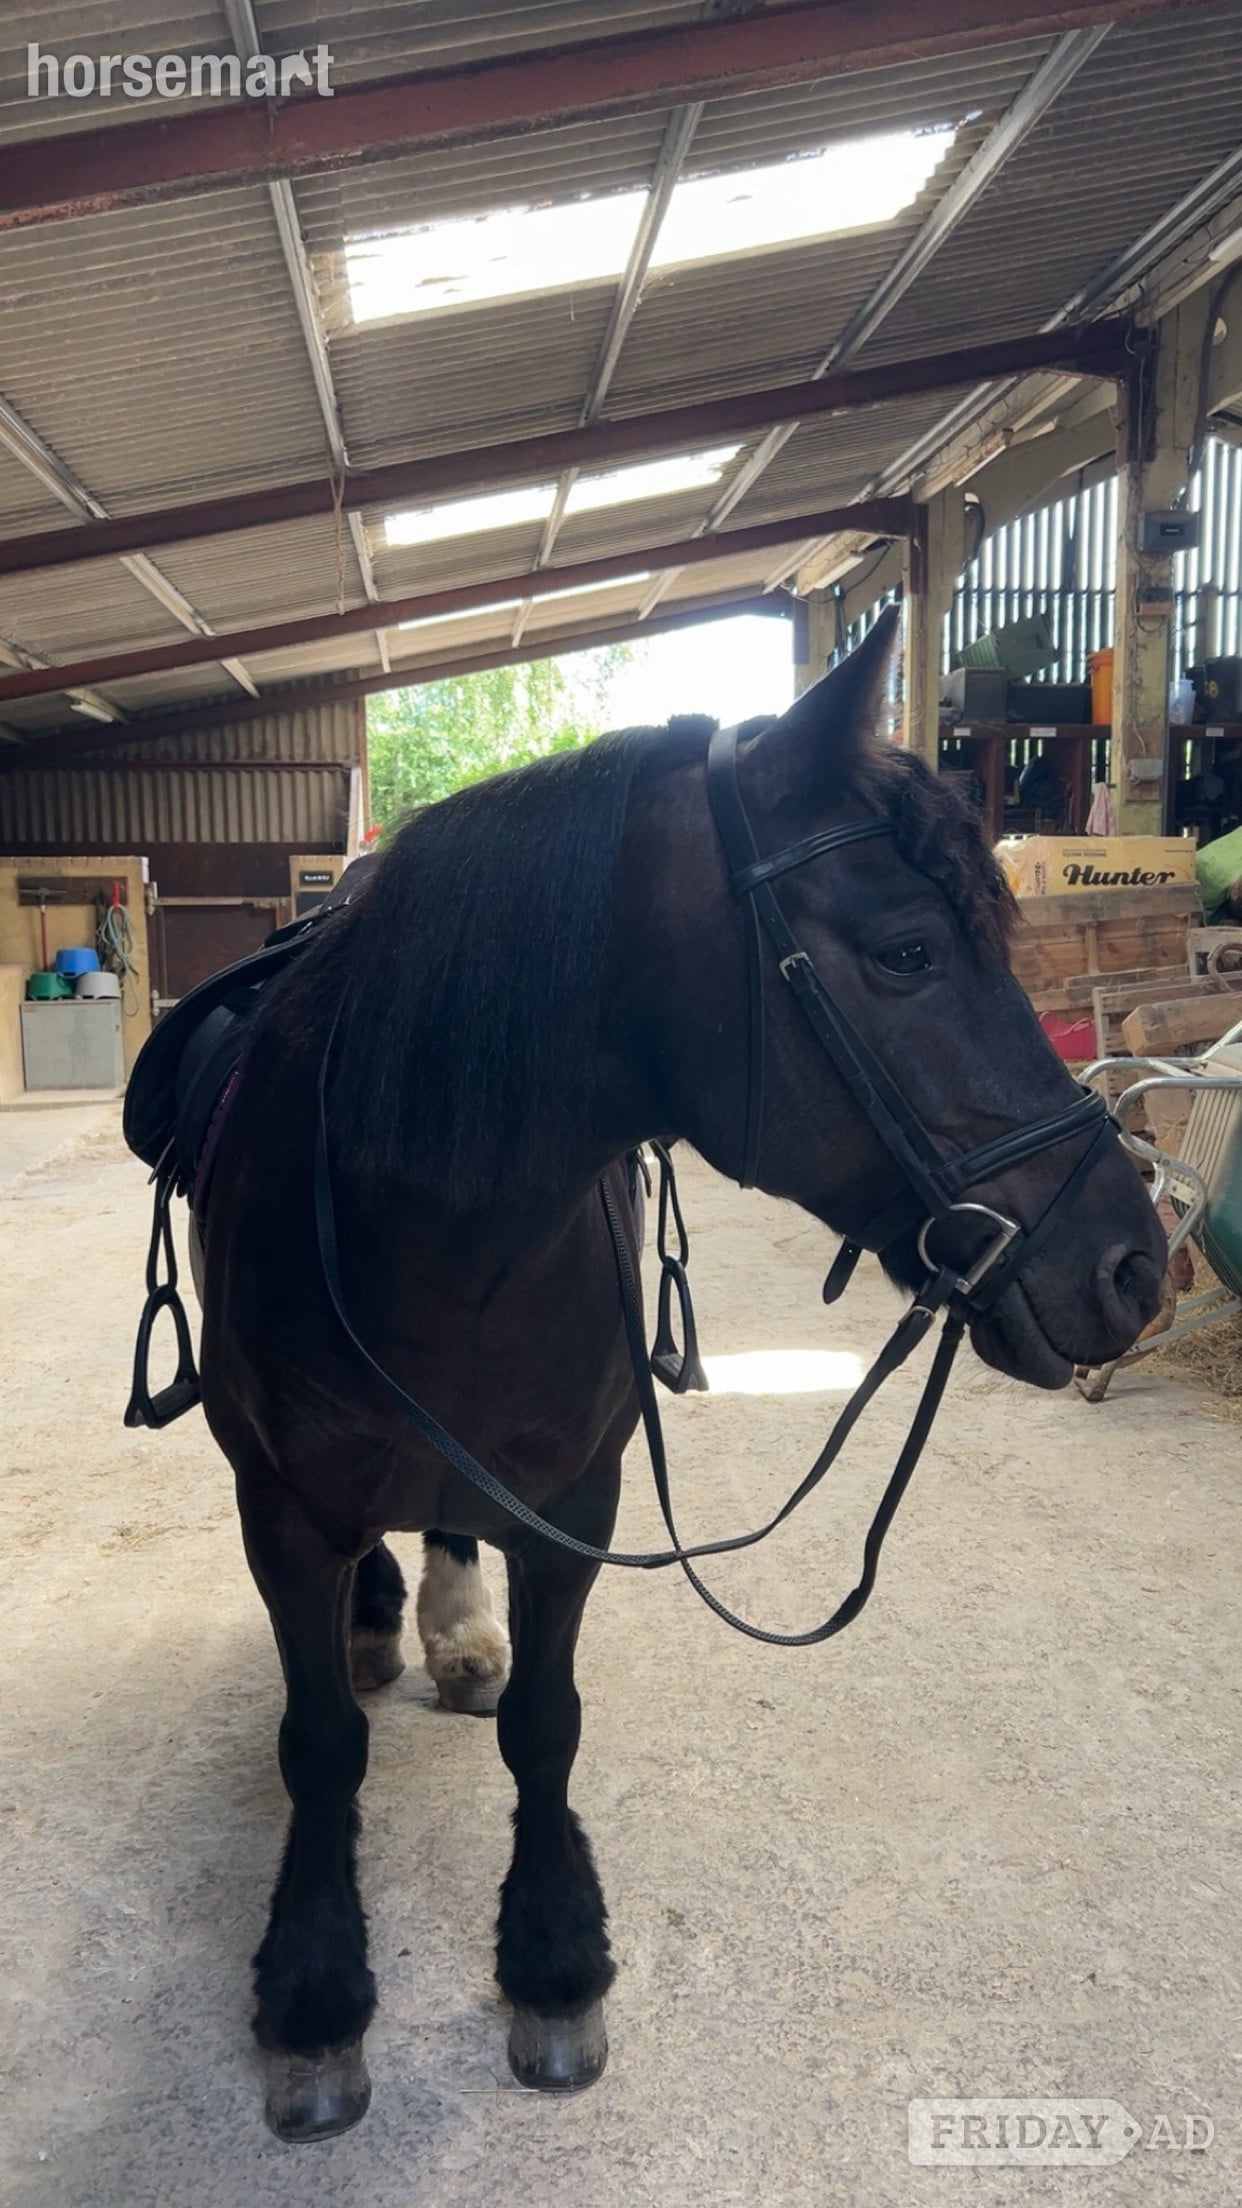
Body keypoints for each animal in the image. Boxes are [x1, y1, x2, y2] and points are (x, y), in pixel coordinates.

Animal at [187, 610, 1164, 2139]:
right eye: (904, 951)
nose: (1134, 1263)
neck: (428, 1235)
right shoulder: (278, 1506)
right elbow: (321, 1746)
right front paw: (313, 1996)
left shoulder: (574, 1495)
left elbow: (545, 1722)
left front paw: (551, 1966)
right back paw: (381, 1620)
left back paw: (453, 1629)